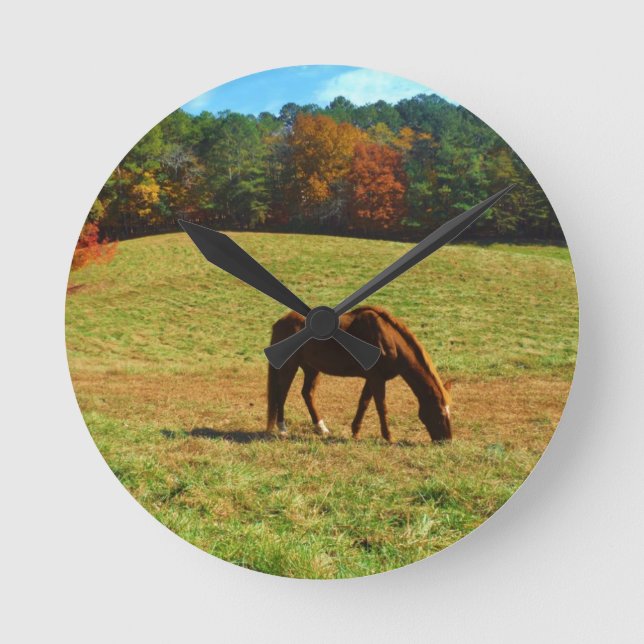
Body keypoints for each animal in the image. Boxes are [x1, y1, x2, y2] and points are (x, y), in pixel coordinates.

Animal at [266, 306, 452, 443]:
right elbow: (381, 407)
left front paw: (355, 431)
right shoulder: (377, 379)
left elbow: (363, 403)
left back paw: (321, 428)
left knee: (307, 394)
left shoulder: (372, 379)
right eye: (440, 412)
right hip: (289, 366)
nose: (447, 440)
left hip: (311, 369)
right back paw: (282, 429)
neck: (388, 340)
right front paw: (388, 437)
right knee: (282, 394)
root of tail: (280, 322)